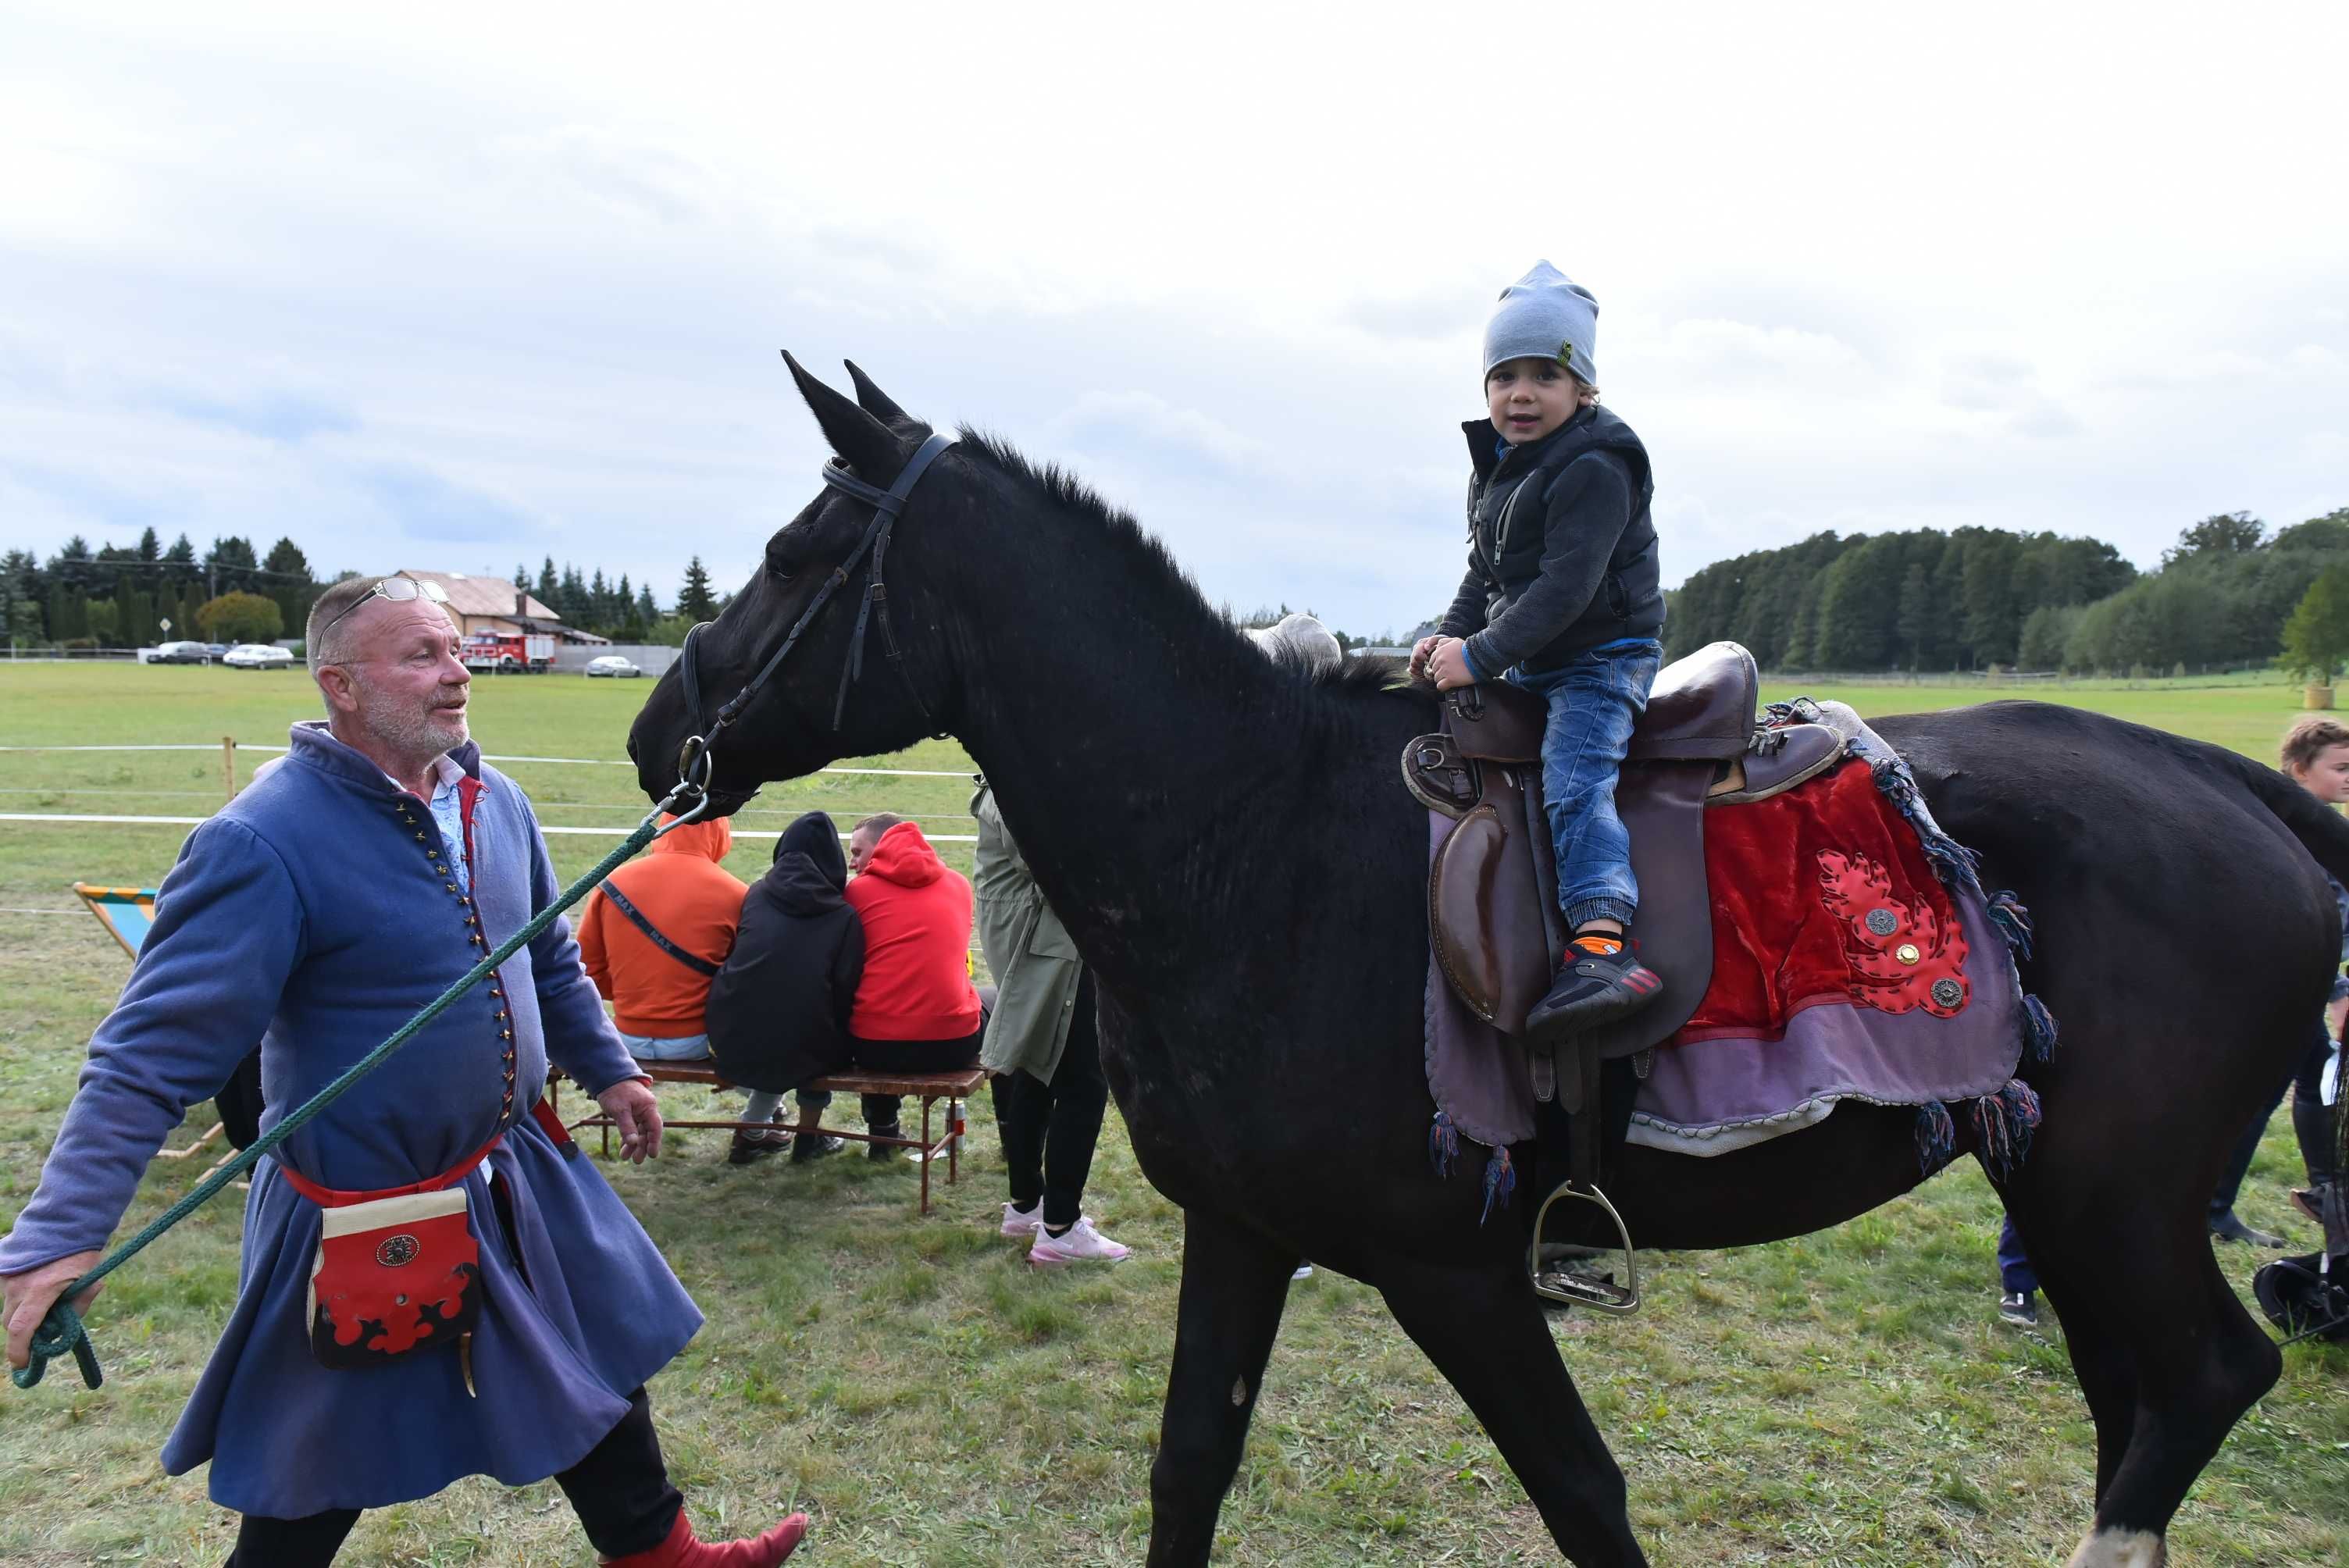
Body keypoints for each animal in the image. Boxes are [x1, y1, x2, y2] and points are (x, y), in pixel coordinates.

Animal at [629, 358, 2349, 1568]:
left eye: (797, 552)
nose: (660, 734)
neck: (1254, 833)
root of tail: (2225, 786)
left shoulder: (1455, 1270)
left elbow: (1583, 1492)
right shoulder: (1244, 1232)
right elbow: (1190, 1464)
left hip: (2111, 1193)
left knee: (2204, 1379)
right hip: (2059, 1188)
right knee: (2141, 1397)